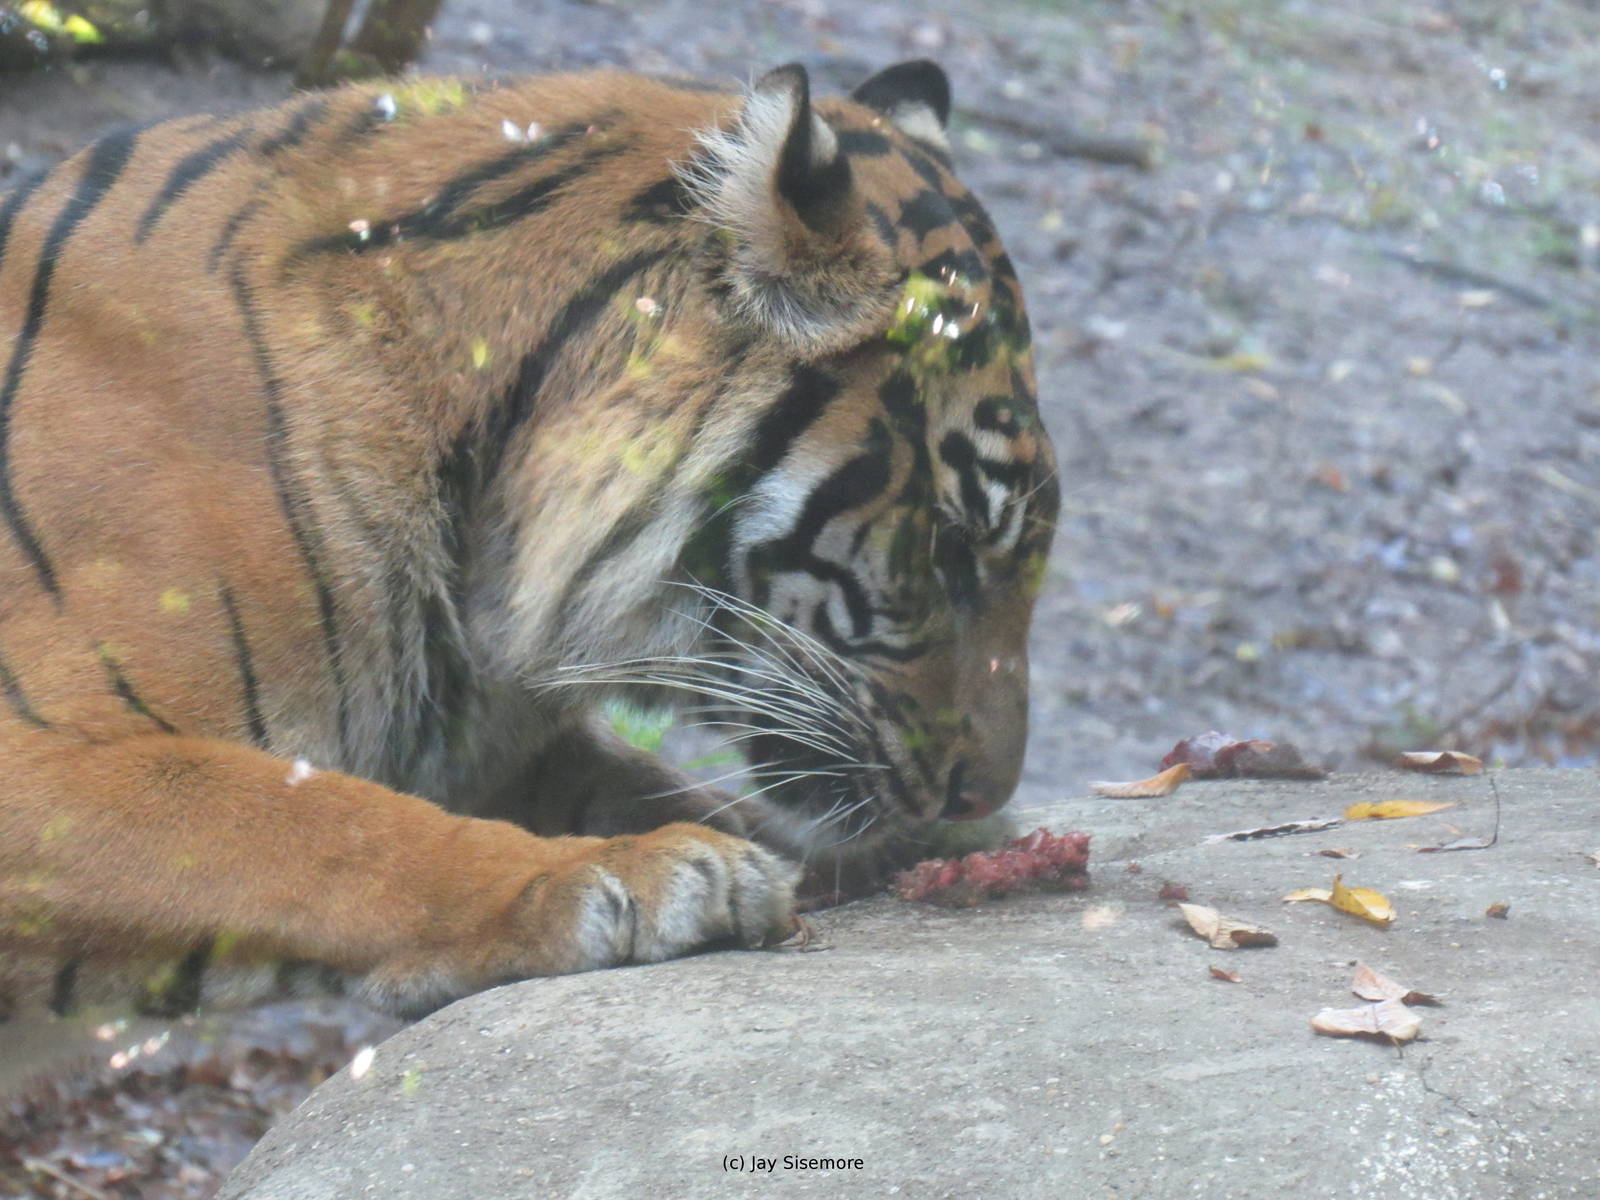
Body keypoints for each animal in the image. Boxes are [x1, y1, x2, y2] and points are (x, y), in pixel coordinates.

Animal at [0, 59, 1058, 1023]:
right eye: (954, 545)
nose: (981, 796)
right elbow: (325, 825)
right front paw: (632, 877)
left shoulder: (478, 740)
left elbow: (651, 785)